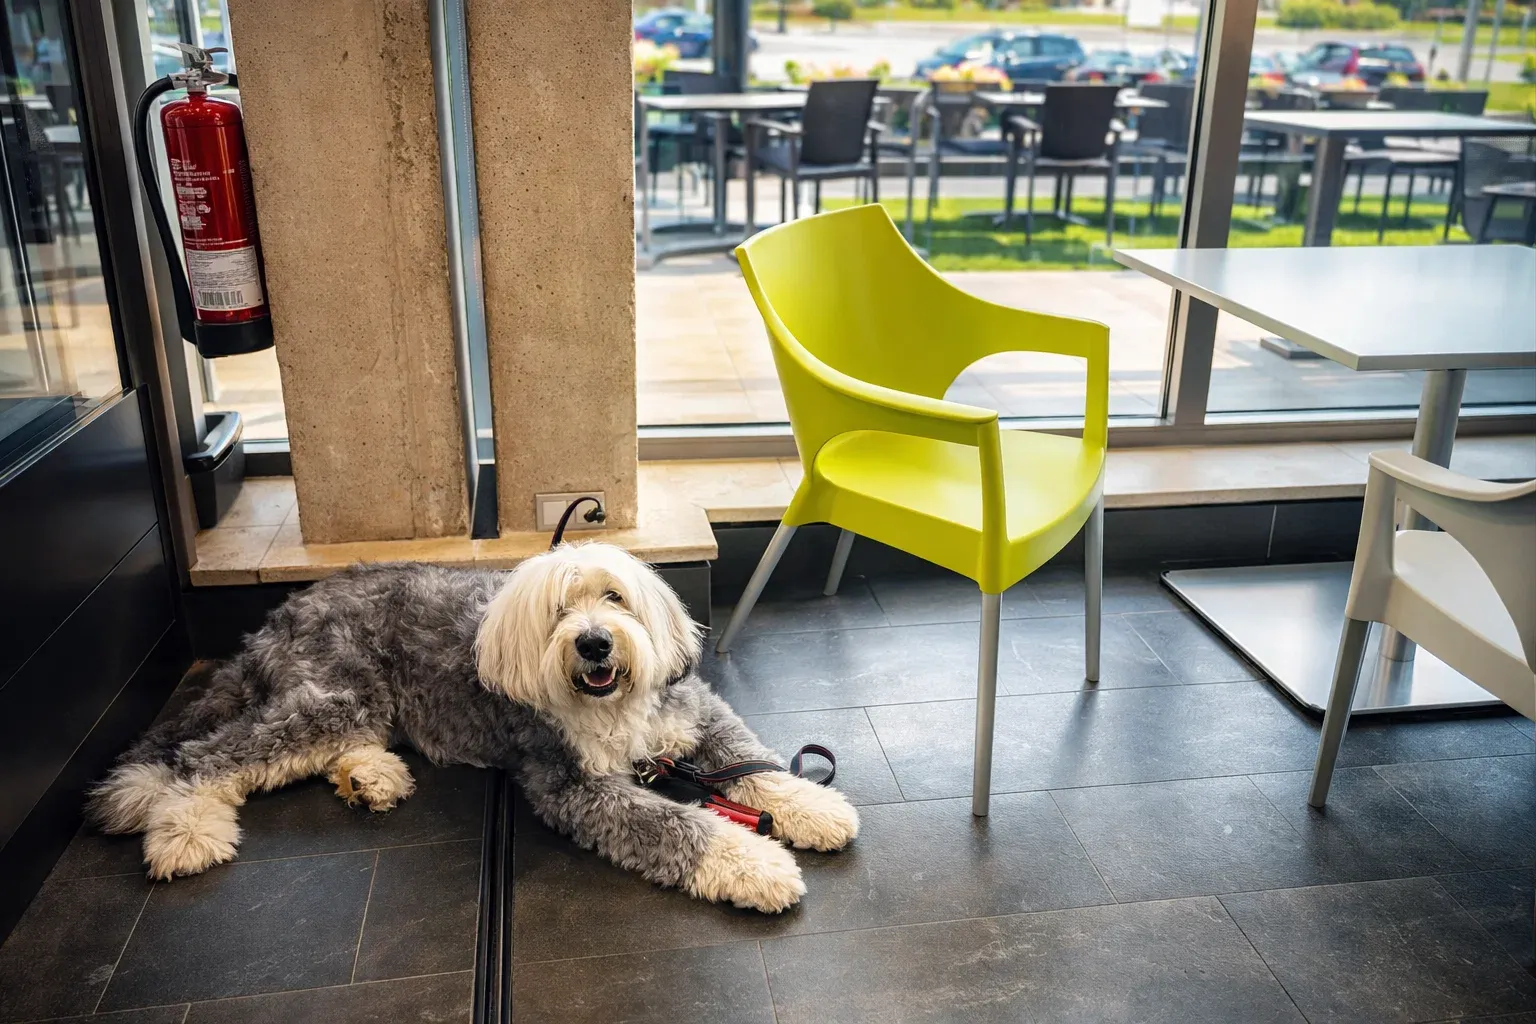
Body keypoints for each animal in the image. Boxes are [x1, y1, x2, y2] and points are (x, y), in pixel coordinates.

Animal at [86, 543, 858, 912]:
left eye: (615, 596)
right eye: (557, 611)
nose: (594, 643)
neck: (611, 711)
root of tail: (284, 613)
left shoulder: (693, 714)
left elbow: (749, 760)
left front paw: (813, 806)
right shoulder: (575, 786)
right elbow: (679, 826)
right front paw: (758, 865)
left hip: (354, 703)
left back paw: (371, 777)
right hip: (328, 696)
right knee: (206, 754)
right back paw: (185, 833)